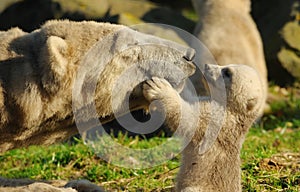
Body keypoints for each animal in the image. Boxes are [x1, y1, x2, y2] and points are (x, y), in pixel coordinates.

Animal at [144, 63, 264, 191]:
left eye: (227, 72)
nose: (207, 66)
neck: (233, 112)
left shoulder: (216, 121)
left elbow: (189, 119)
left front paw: (160, 88)